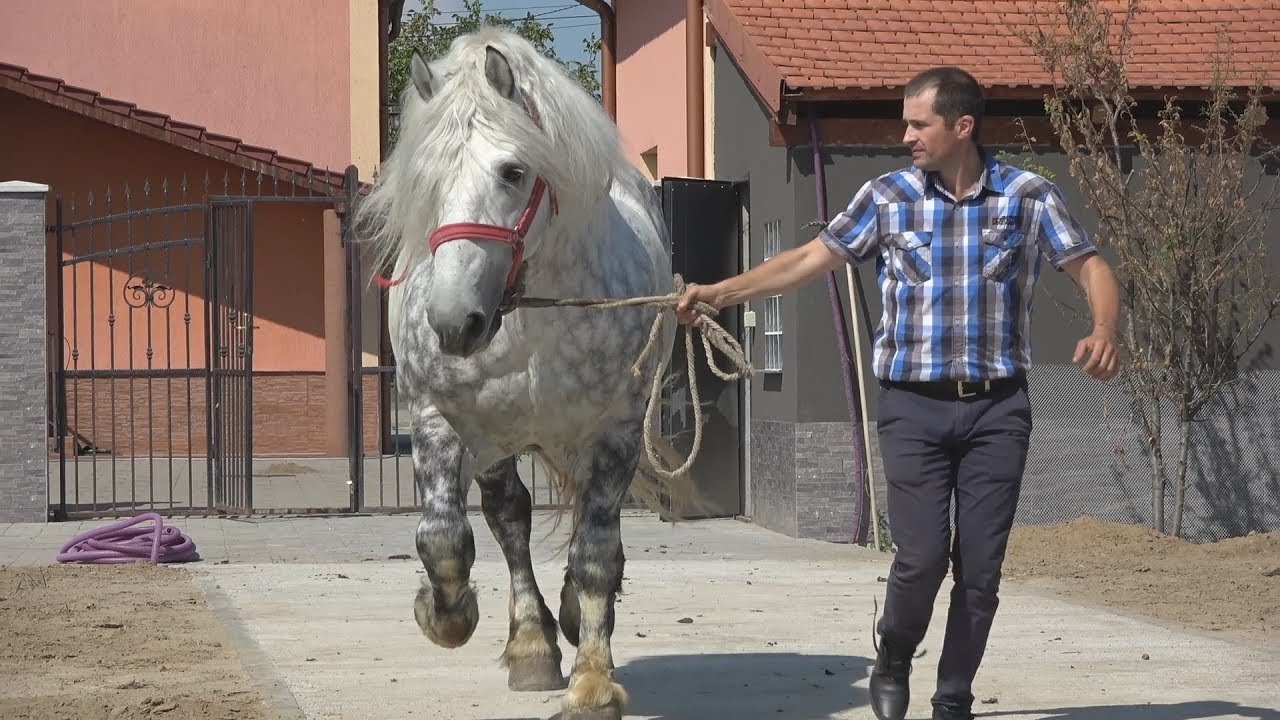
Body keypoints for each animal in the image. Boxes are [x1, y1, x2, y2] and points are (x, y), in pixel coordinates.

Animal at [354, 27, 696, 720]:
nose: (453, 322)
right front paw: (443, 613)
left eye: (513, 171)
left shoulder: (615, 432)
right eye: (424, 181)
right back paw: (533, 643)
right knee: (509, 518)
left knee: (591, 529)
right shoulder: (441, 420)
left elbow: (595, 555)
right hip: (499, 444)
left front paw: (593, 683)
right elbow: (444, 538)